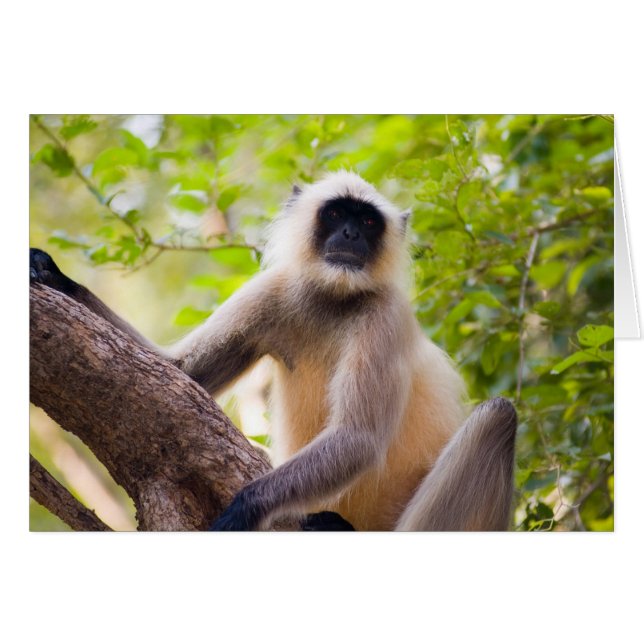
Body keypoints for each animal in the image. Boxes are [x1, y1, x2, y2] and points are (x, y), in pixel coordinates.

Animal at [30, 170, 517, 531]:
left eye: (368, 223)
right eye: (336, 213)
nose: (349, 235)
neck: (333, 298)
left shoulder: (387, 315)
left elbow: (358, 437)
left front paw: (245, 507)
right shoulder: (274, 289)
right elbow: (180, 372)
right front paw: (53, 275)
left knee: (499, 414)